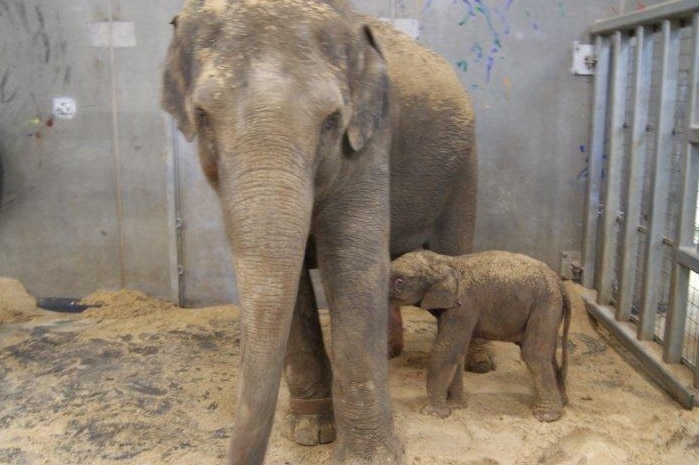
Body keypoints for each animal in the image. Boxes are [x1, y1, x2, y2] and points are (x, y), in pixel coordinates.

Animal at [161, 0, 484, 464]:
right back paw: (391, 353)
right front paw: (310, 432)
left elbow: (351, 266)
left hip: (464, 169)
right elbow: (291, 282)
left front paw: (371, 457)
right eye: (203, 117)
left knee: (459, 252)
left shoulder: (369, 142)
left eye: (332, 120)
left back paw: (477, 366)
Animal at [392, 250, 572, 420]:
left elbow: (447, 350)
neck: (445, 260)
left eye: (399, 281)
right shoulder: (450, 310)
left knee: (533, 354)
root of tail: (559, 282)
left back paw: (546, 416)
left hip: (545, 306)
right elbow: (457, 352)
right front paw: (456, 407)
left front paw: (431, 413)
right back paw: (561, 403)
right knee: (548, 354)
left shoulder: (463, 308)